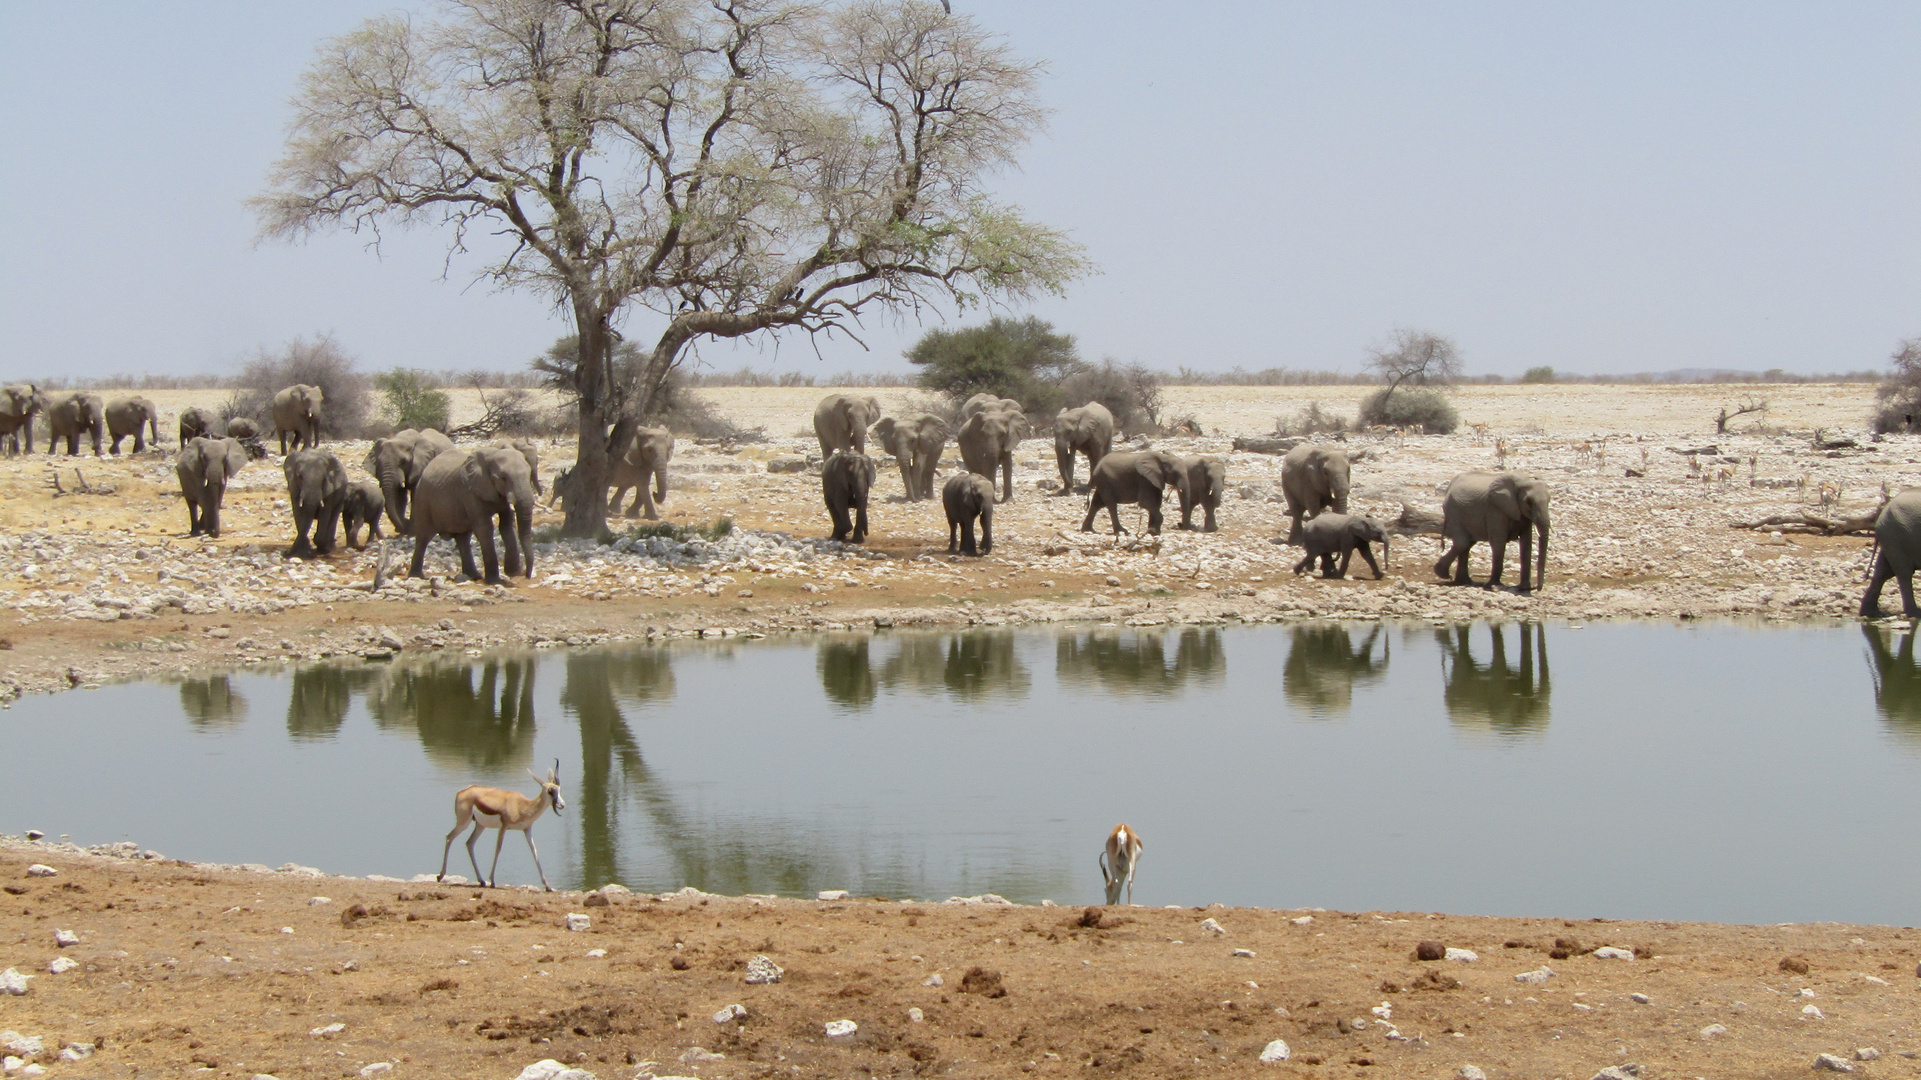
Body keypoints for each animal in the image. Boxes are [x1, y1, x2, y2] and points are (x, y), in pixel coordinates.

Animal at [409, 443, 537, 584]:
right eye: (503, 478)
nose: (526, 575)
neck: (492, 454)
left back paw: (473, 576)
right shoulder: (470, 493)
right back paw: (416, 576)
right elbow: (485, 528)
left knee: (463, 538)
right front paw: (494, 581)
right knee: (423, 537)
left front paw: (512, 573)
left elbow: (506, 525)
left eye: (529, 474)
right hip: (423, 499)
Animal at [432, 757, 560, 883]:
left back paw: (481, 881)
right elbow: (498, 848)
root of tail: (463, 791)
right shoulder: (504, 826)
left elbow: (534, 850)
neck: (521, 806)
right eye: (550, 791)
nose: (561, 804)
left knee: (469, 843)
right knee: (449, 837)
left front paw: (547, 885)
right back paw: (440, 876)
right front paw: (492, 880)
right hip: (463, 823)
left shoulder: (527, 829)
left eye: (559, 789)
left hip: (480, 825)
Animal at [1867, 486, 1921, 614]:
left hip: (1891, 538)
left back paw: (1872, 613)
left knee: (1883, 572)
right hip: (1895, 537)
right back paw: (1915, 613)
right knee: (1904, 572)